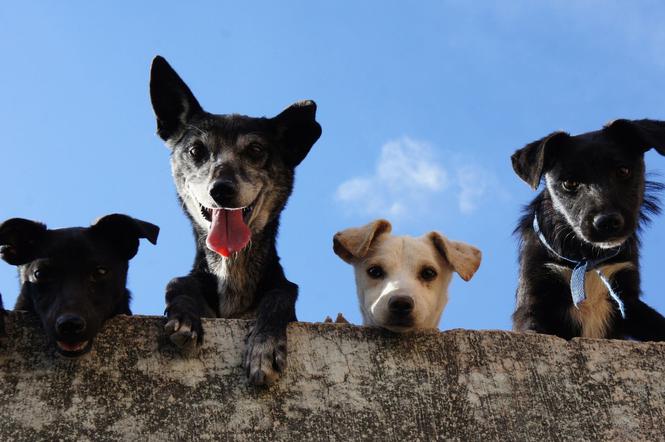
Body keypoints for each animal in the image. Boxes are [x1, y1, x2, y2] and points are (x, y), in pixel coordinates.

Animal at [149, 56, 320, 386]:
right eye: (196, 150)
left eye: (255, 150)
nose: (222, 190)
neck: (232, 271)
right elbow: (177, 282)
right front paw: (184, 318)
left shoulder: (281, 293)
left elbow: (281, 295)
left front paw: (264, 347)